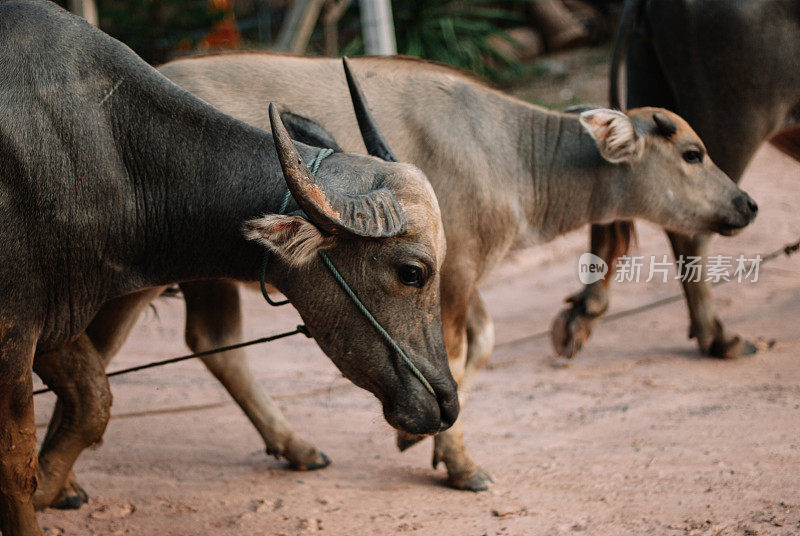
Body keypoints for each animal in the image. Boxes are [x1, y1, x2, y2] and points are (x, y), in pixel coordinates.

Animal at [0, 3, 460, 532]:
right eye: (412, 272)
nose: (448, 405)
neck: (112, 152)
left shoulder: (59, 314)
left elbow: (94, 401)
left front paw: (54, 486)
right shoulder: (15, 327)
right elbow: (16, 465)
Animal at [47, 52, 760, 500]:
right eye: (692, 153)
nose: (747, 204)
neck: (508, 153)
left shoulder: (464, 273)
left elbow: (479, 348)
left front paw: (418, 439)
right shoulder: (450, 274)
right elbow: (455, 353)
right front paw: (459, 463)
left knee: (212, 343)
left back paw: (295, 446)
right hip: (130, 272)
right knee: (95, 351)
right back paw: (67, 479)